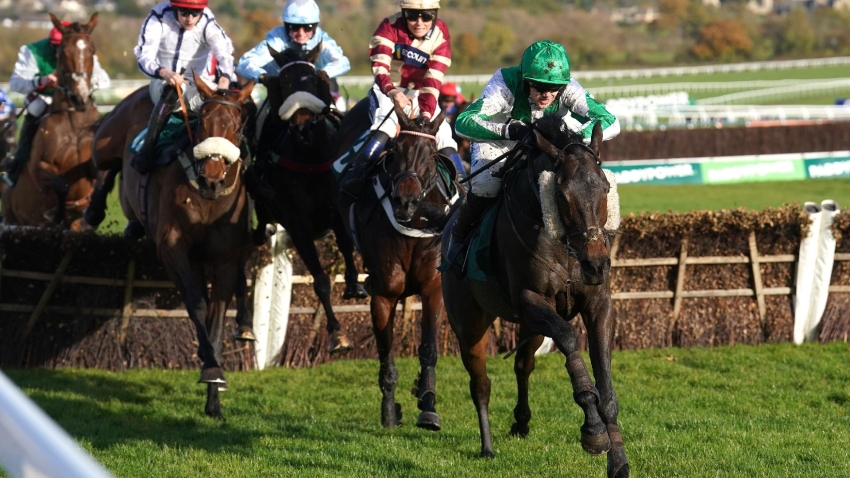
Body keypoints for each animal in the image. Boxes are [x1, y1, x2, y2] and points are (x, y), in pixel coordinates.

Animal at [1, 14, 100, 231]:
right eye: (63, 52)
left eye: (92, 50)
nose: (79, 98)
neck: (74, 122)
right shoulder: (39, 167)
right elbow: (61, 183)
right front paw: (56, 212)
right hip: (15, 221)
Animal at [91, 71, 255, 418]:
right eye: (203, 122)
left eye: (238, 126)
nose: (212, 177)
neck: (207, 200)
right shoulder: (172, 247)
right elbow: (196, 304)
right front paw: (211, 368)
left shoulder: (222, 258)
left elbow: (216, 317)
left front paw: (214, 396)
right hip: (105, 142)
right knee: (103, 164)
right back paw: (97, 206)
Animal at [250, 44, 366, 352]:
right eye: (284, 83)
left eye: (314, 80)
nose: (303, 128)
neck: (310, 159)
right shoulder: (298, 227)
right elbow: (320, 280)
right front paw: (337, 333)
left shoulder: (336, 214)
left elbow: (347, 249)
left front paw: (354, 285)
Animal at [338, 101, 458, 430]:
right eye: (394, 150)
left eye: (430, 156)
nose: (405, 201)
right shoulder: (383, 294)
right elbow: (386, 355)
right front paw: (390, 411)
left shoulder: (433, 289)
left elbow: (428, 349)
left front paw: (427, 404)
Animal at [440, 116, 628, 478]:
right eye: (562, 193)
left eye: (605, 187)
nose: (596, 263)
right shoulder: (530, 300)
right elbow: (568, 338)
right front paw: (593, 430)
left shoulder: (598, 304)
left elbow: (608, 385)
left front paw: (618, 459)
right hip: (469, 323)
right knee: (480, 383)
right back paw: (487, 447)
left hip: (531, 326)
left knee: (522, 364)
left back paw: (521, 422)